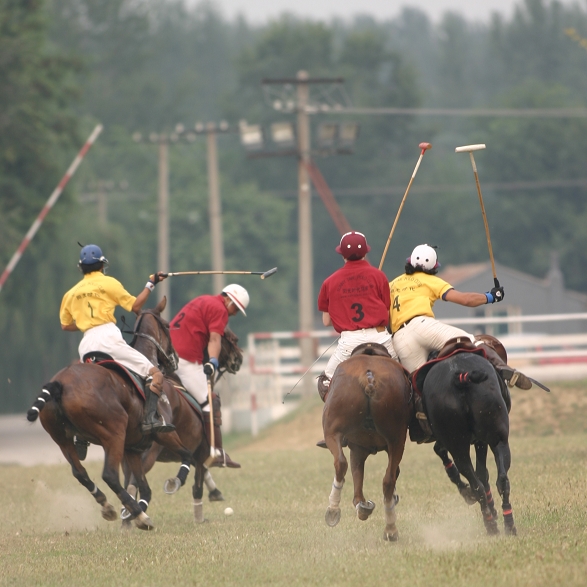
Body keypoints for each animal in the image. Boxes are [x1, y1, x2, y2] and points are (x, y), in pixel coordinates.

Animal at [27, 300, 193, 532]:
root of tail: (58, 383)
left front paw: (132, 513)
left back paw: (110, 507)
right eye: (168, 326)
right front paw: (173, 483)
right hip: (113, 433)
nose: (174, 360)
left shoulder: (133, 448)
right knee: (109, 475)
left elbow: (144, 487)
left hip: (62, 438)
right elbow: (187, 455)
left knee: (80, 472)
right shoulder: (163, 434)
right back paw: (140, 515)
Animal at [322, 344, 414, 544]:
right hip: (397, 440)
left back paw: (333, 511)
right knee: (388, 479)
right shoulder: (363, 448)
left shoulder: (357, 448)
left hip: (332, 431)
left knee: (341, 463)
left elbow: (357, 489)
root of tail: (369, 378)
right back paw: (390, 529)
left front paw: (362, 506)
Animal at [422, 350, 516, 536]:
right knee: (497, 481)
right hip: (493, 439)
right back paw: (503, 524)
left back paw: (496, 522)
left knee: (483, 482)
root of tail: (460, 377)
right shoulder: (480, 442)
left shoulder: (476, 442)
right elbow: (482, 473)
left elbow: (479, 473)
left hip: (461, 445)